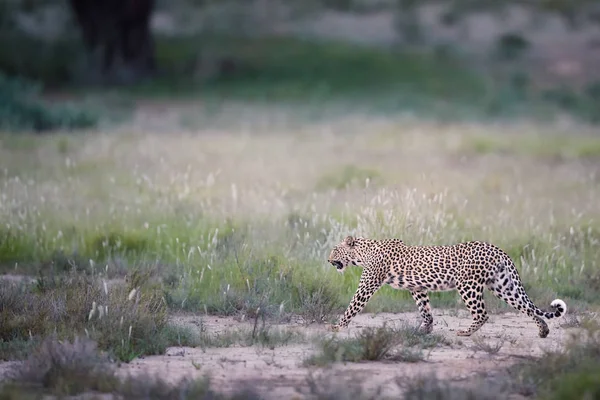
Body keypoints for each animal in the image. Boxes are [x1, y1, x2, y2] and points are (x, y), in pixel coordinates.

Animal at [328, 234, 568, 338]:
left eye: (334, 249)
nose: (328, 260)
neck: (362, 253)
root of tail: (498, 249)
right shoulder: (418, 288)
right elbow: (425, 310)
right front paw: (426, 329)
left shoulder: (368, 284)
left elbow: (353, 306)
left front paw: (337, 326)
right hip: (502, 285)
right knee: (526, 306)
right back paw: (543, 330)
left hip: (468, 285)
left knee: (483, 314)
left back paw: (465, 332)